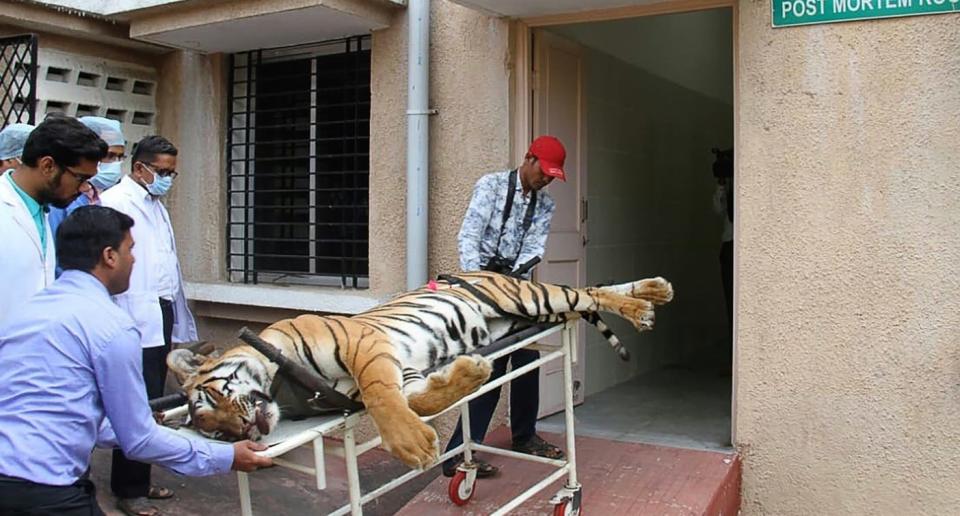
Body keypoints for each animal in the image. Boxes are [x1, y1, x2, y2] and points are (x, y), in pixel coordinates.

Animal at [167, 270, 676, 468]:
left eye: (211, 398)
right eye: (213, 433)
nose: (241, 434)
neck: (286, 389)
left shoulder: (364, 346)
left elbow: (383, 399)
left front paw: (412, 446)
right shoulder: (400, 371)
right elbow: (423, 399)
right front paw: (469, 373)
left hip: (527, 297)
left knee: (586, 291)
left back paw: (646, 303)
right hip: (531, 311)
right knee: (584, 294)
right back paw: (652, 295)